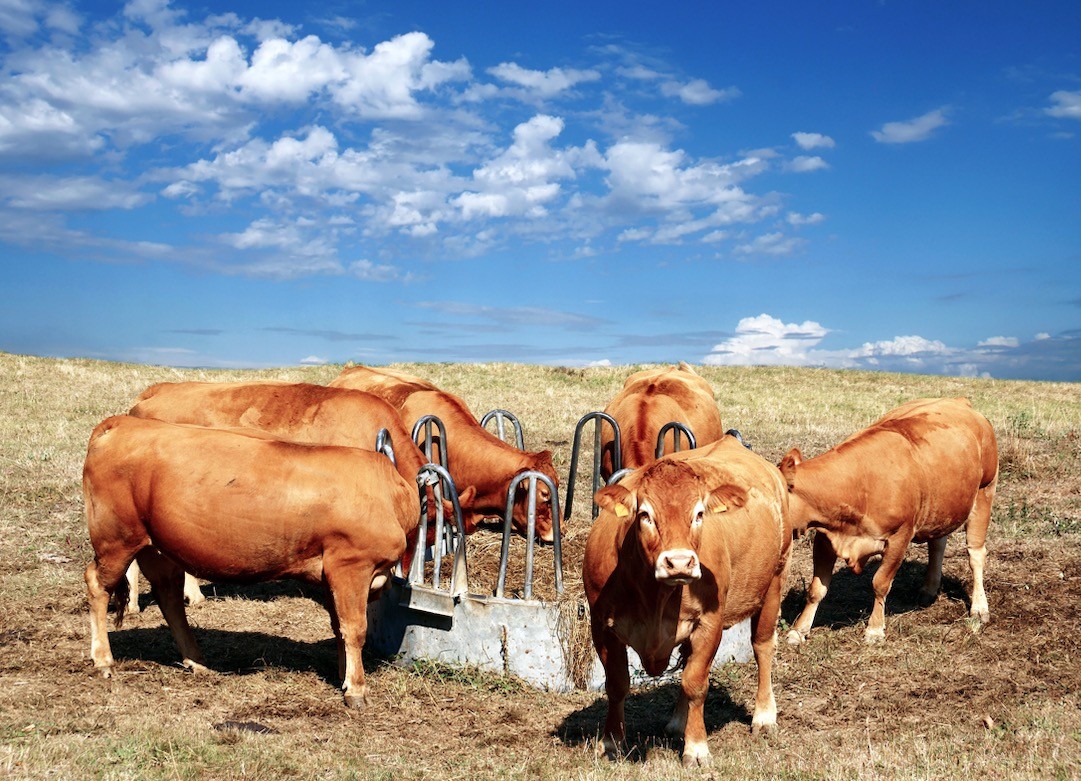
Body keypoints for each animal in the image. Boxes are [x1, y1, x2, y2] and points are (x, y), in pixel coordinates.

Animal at [78, 413, 417, 705]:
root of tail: (120, 423)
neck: (392, 494)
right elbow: (354, 629)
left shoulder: (332, 574)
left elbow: (338, 627)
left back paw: (196, 661)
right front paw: (356, 689)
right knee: (97, 583)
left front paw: (343, 675)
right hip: (117, 539)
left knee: (169, 597)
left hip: (159, 548)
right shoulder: (351, 566)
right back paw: (104, 660)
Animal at [588, 434, 791, 761]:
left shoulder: (709, 622)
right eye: (645, 514)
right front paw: (611, 741)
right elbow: (617, 684)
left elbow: (696, 683)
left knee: (762, 646)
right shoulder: (601, 626)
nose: (680, 562)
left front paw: (695, 747)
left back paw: (764, 715)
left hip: (774, 581)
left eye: (698, 514)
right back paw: (678, 721)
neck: (653, 596)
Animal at [778, 398, 994, 640]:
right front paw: (799, 630)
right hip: (941, 508)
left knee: (976, 554)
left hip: (985, 491)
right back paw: (929, 590)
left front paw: (874, 629)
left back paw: (979, 608)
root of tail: (958, 401)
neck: (860, 484)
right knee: (937, 544)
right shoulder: (825, 538)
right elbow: (817, 588)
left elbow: (880, 583)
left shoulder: (899, 537)